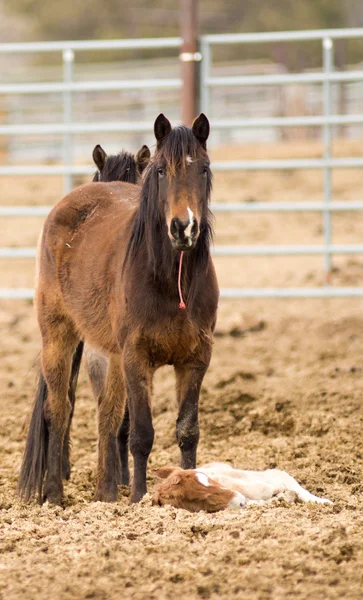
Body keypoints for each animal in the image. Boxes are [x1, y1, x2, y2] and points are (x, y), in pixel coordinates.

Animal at [18, 113, 219, 506]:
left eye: (203, 169)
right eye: (161, 171)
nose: (183, 227)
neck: (172, 282)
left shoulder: (196, 359)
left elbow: (186, 430)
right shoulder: (135, 358)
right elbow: (141, 432)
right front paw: (138, 495)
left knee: (106, 413)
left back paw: (104, 490)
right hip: (59, 336)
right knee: (59, 409)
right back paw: (54, 494)